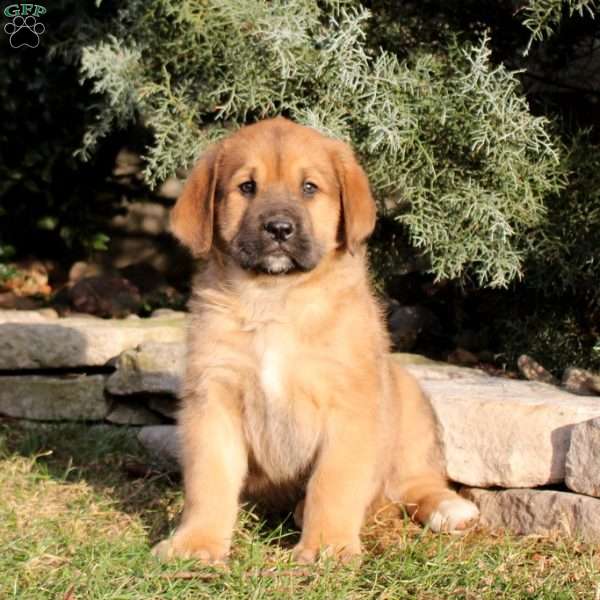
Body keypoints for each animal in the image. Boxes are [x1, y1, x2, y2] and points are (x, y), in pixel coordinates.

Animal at [154, 116, 478, 564]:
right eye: (246, 187)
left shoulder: (348, 405)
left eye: (309, 187)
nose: (278, 229)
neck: (275, 298)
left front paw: (327, 547)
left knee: (415, 482)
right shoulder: (213, 398)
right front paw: (196, 543)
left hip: (407, 403)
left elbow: (333, 483)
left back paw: (449, 508)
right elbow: (209, 482)